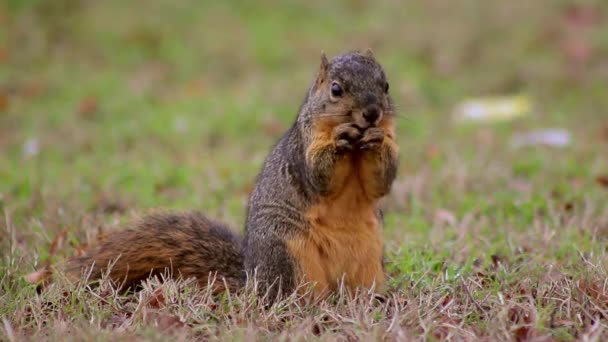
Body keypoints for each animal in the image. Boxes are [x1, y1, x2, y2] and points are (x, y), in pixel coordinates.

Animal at [66, 49, 400, 300]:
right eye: (336, 89)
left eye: (385, 85)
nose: (372, 113)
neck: (357, 149)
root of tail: (251, 278)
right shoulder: (303, 150)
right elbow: (320, 176)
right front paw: (341, 138)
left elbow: (381, 182)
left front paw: (378, 143)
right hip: (286, 253)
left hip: (370, 256)